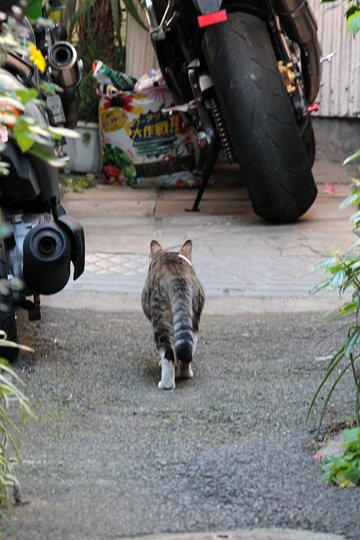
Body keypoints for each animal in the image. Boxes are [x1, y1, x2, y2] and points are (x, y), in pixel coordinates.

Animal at [143, 239, 207, 388]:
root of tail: (178, 278)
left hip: (161, 318)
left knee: (168, 351)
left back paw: (165, 384)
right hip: (193, 317)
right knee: (188, 348)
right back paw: (184, 374)